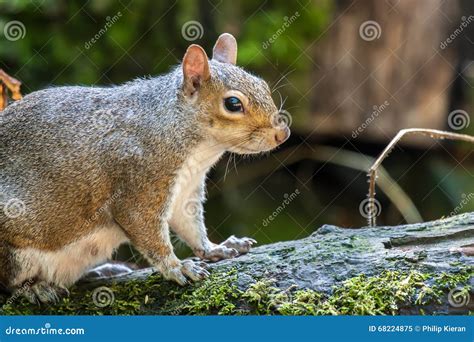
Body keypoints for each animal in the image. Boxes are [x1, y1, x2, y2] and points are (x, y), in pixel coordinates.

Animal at [0, 33, 288, 304]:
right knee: (9, 281)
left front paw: (217, 248)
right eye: (233, 104)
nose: (282, 134)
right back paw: (34, 288)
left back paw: (102, 270)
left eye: (263, 85)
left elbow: (191, 226)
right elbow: (147, 232)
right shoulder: (139, 184)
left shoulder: (185, 191)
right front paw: (176, 267)